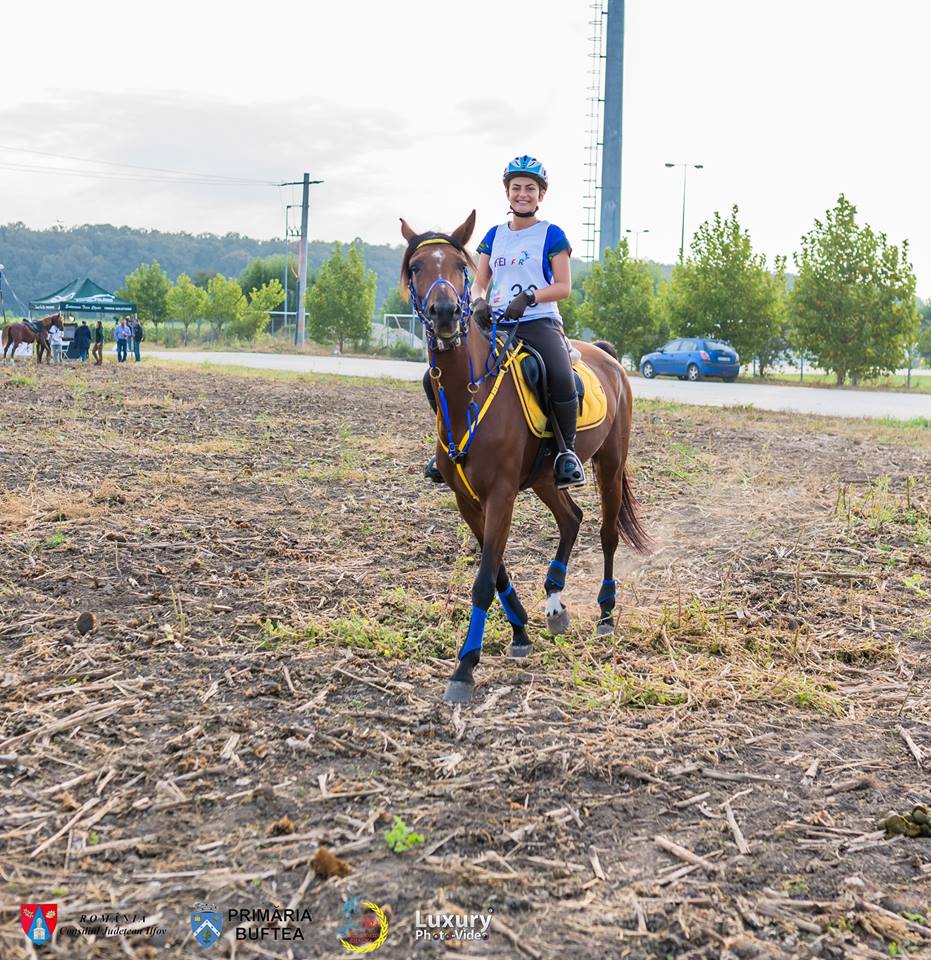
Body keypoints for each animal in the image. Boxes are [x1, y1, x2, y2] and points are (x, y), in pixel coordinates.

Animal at [400, 211, 650, 704]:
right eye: (417, 267)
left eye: (458, 266)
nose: (444, 313)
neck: (470, 394)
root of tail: (606, 355)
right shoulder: (467, 499)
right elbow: (495, 571)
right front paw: (520, 631)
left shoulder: (501, 495)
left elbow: (482, 579)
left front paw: (465, 668)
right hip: (543, 478)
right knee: (571, 518)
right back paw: (554, 601)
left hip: (609, 465)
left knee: (607, 534)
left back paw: (605, 613)